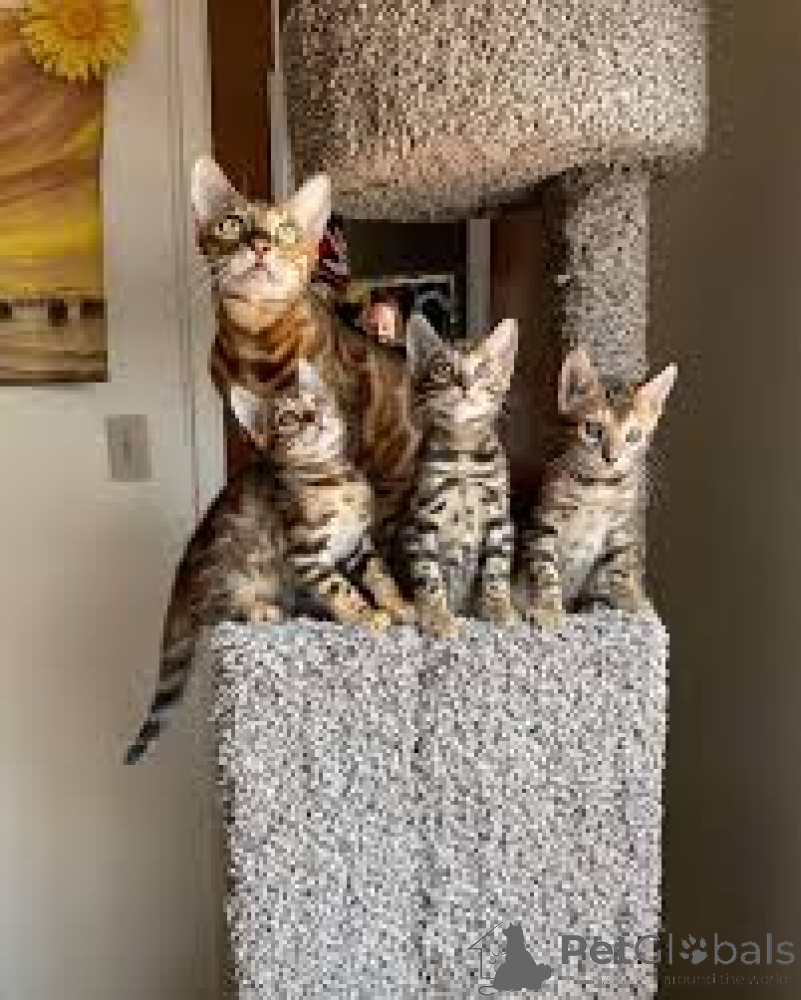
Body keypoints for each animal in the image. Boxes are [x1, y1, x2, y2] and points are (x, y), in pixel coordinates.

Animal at [124, 361, 414, 764]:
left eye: (315, 401)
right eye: (288, 418)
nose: (312, 417)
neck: (332, 478)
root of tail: (182, 578)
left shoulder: (358, 542)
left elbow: (379, 573)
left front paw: (398, 604)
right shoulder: (306, 550)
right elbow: (340, 587)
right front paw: (365, 615)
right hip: (232, 568)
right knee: (218, 612)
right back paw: (259, 609)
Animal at [399, 314, 519, 639]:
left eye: (482, 370)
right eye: (443, 369)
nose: (465, 384)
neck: (463, 452)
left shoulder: (499, 516)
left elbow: (496, 568)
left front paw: (499, 609)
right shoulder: (422, 518)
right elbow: (428, 574)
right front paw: (437, 617)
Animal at [515, 346, 677, 626]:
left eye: (633, 436)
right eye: (593, 429)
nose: (611, 458)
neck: (599, 486)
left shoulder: (619, 526)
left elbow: (621, 565)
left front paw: (632, 601)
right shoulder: (544, 523)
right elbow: (544, 568)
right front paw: (548, 608)